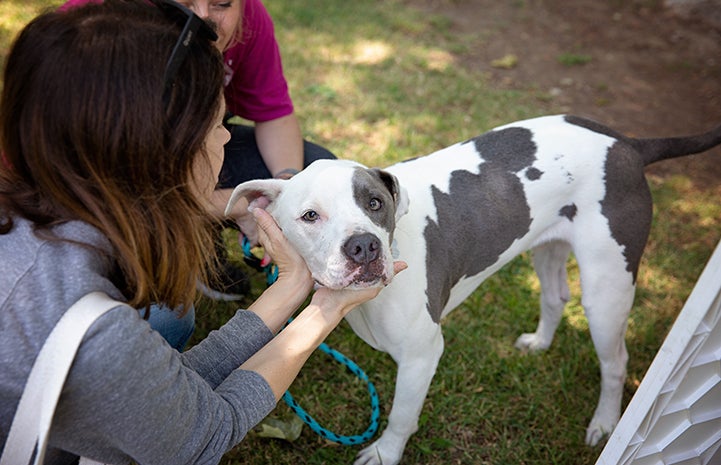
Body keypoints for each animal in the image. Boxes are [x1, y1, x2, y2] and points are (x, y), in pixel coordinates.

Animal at [225, 113, 720, 464]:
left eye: (375, 204)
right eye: (310, 216)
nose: (364, 246)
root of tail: (626, 144)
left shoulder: (423, 355)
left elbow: (402, 414)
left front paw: (386, 453)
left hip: (606, 288)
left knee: (615, 361)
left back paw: (603, 423)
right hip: (549, 248)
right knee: (555, 297)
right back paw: (540, 343)